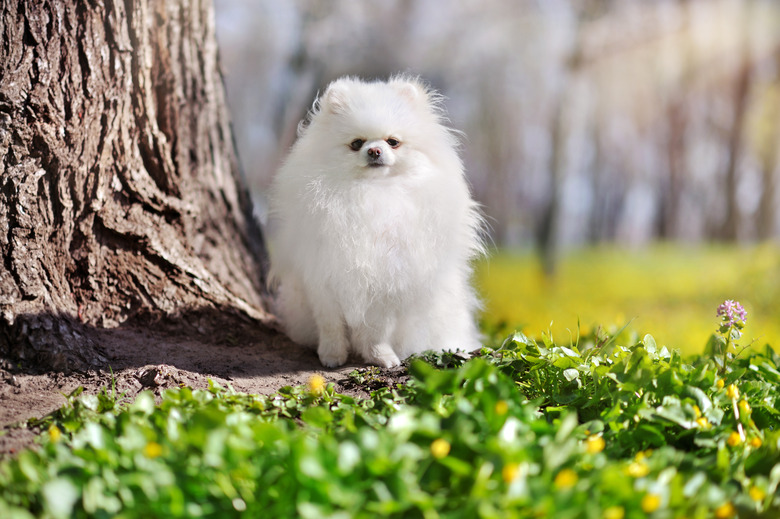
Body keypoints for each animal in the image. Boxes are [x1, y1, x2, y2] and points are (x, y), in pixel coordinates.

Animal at [270, 76, 488, 370]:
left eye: (393, 142)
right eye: (356, 143)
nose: (374, 150)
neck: (373, 192)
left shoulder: (387, 281)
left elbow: (377, 330)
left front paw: (381, 357)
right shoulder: (323, 278)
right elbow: (331, 325)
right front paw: (331, 355)